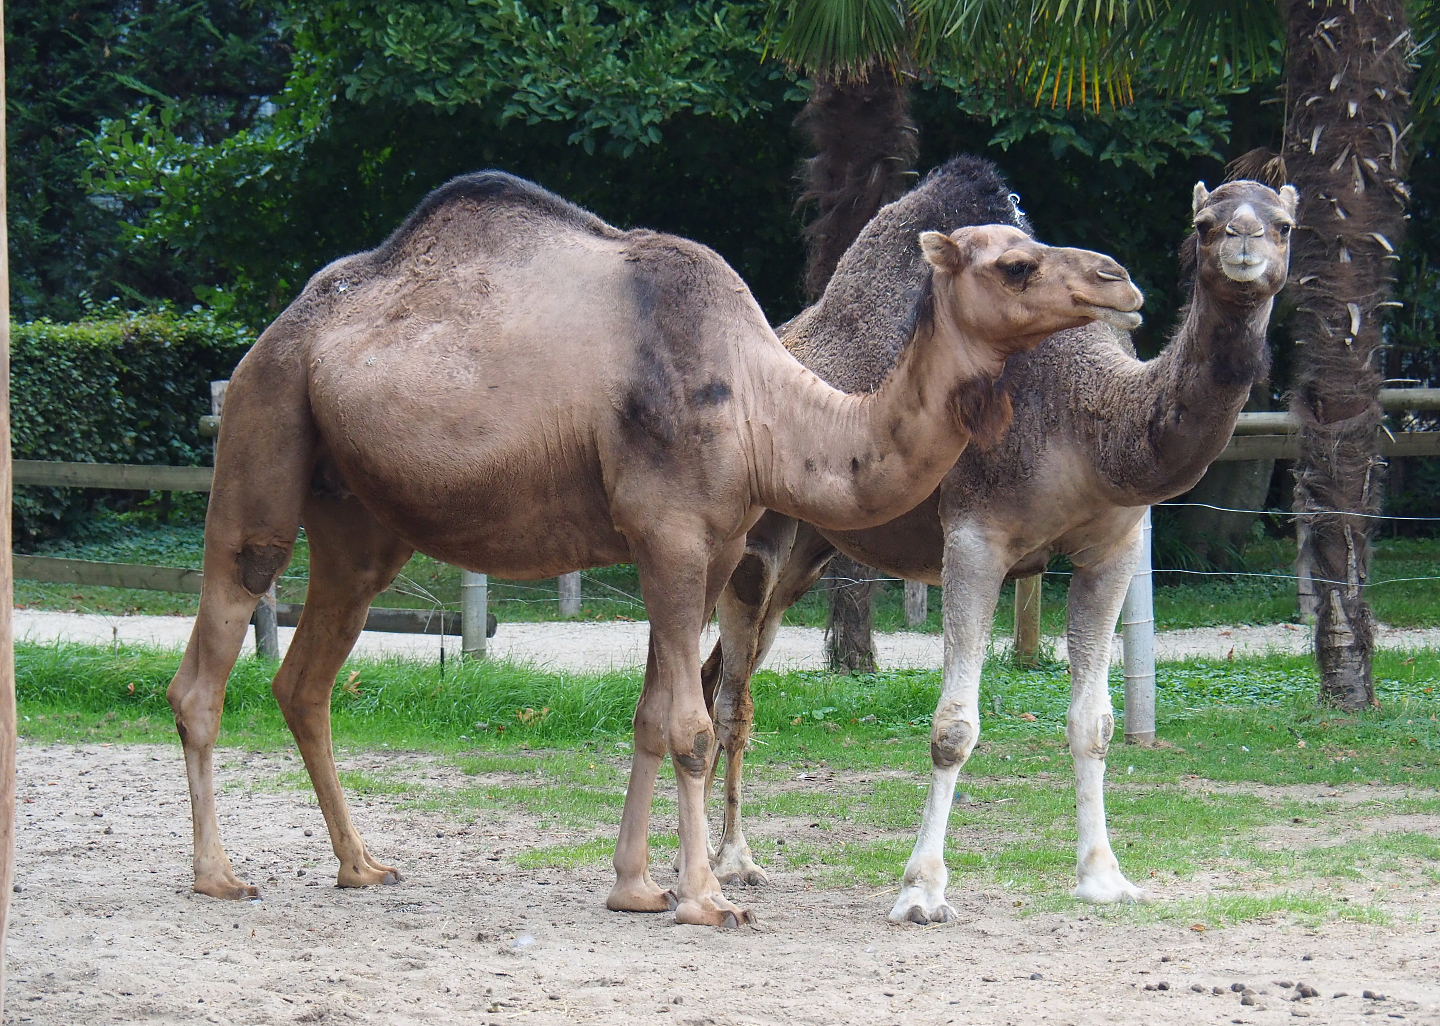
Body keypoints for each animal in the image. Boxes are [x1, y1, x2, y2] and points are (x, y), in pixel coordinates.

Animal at [166, 170, 1144, 926]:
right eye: (1016, 262)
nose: (1120, 280)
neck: (765, 406)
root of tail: (276, 334)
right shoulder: (668, 533)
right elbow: (692, 725)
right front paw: (707, 898)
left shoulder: (711, 547)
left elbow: (649, 713)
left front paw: (636, 888)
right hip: (262, 431)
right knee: (211, 653)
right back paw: (218, 875)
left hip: (359, 522)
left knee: (306, 680)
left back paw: (362, 865)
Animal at [698, 161, 1295, 921]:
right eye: (1206, 223)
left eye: (1285, 224)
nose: (1245, 244)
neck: (1088, 415)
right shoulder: (976, 539)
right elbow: (953, 727)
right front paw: (921, 890)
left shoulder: (1113, 550)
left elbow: (1094, 722)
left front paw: (1104, 877)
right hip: (755, 540)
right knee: (731, 698)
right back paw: (734, 862)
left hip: (808, 553)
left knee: (720, 676)